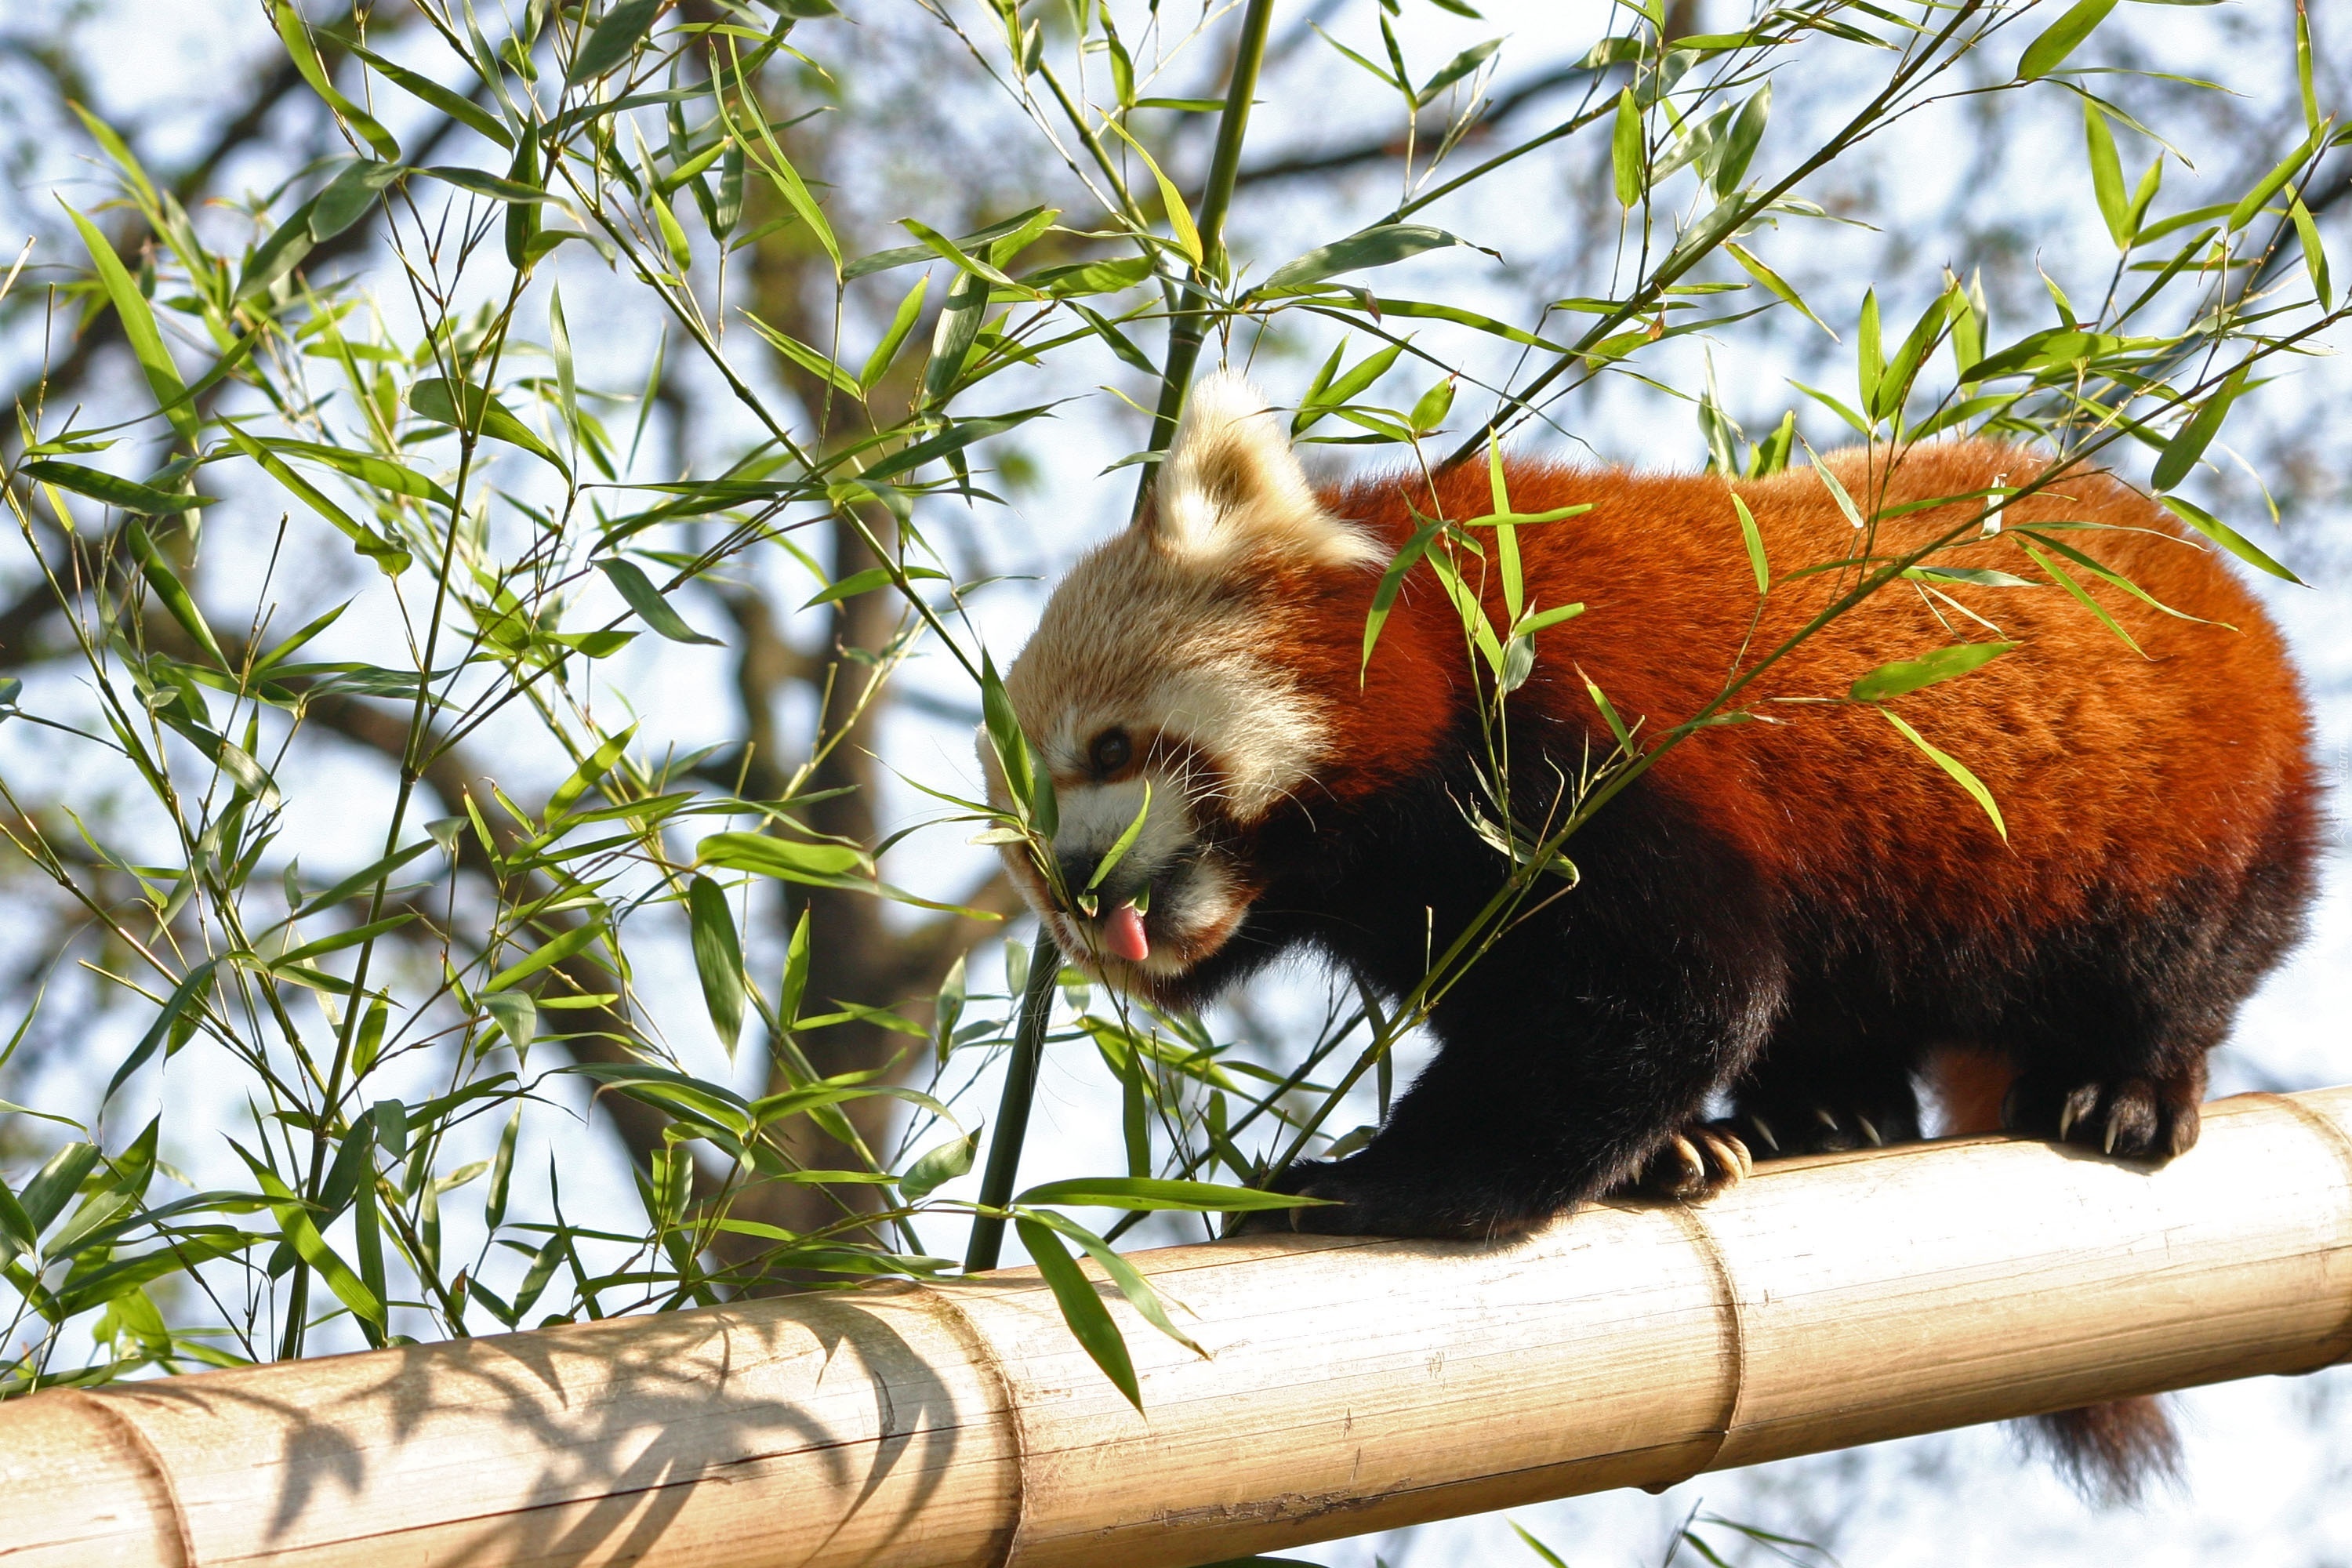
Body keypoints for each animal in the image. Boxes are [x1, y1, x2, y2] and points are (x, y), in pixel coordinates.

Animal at [983, 368, 2324, 1495]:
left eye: (1112, 748)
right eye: (1028, 853)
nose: (1081, 886)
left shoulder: (1585, 743)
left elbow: (1673, 989)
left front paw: (1356, 1183)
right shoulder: (1430, 896)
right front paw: (1666, 1154)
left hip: (2187, 812)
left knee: (2175, 961)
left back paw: (2121, 1086)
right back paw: (1819, 1114)